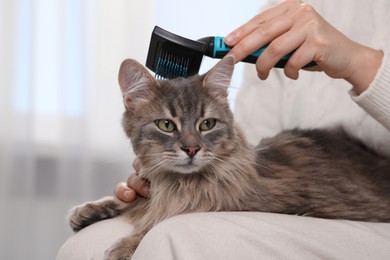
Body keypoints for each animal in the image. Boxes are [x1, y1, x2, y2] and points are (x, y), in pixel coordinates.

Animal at [68, 56, 390, 258]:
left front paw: (126, 245)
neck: (177, 184)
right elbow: (135, 202)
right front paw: (91, 209)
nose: (191, 149)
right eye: (166, 125)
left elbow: (162, 222)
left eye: (207, 124)